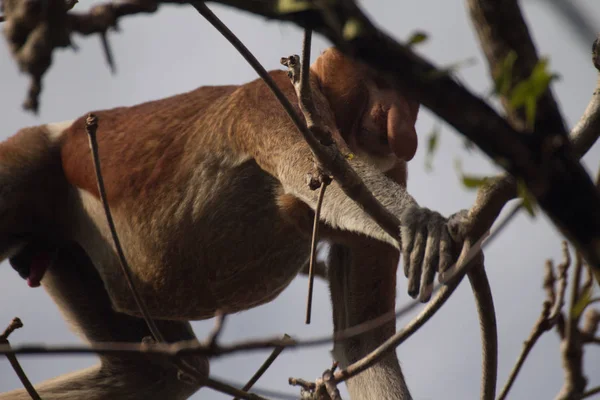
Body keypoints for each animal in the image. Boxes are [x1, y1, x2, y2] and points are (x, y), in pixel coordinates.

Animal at [0, 48, 466, 398]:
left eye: (413, 102)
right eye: (383, 82)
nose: (406, 133)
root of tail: (61, 134)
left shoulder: (393, 169)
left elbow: (364, 342)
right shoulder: (276, 97)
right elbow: (319, 171)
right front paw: (425, 221)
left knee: (157, 374)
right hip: (29, 163)